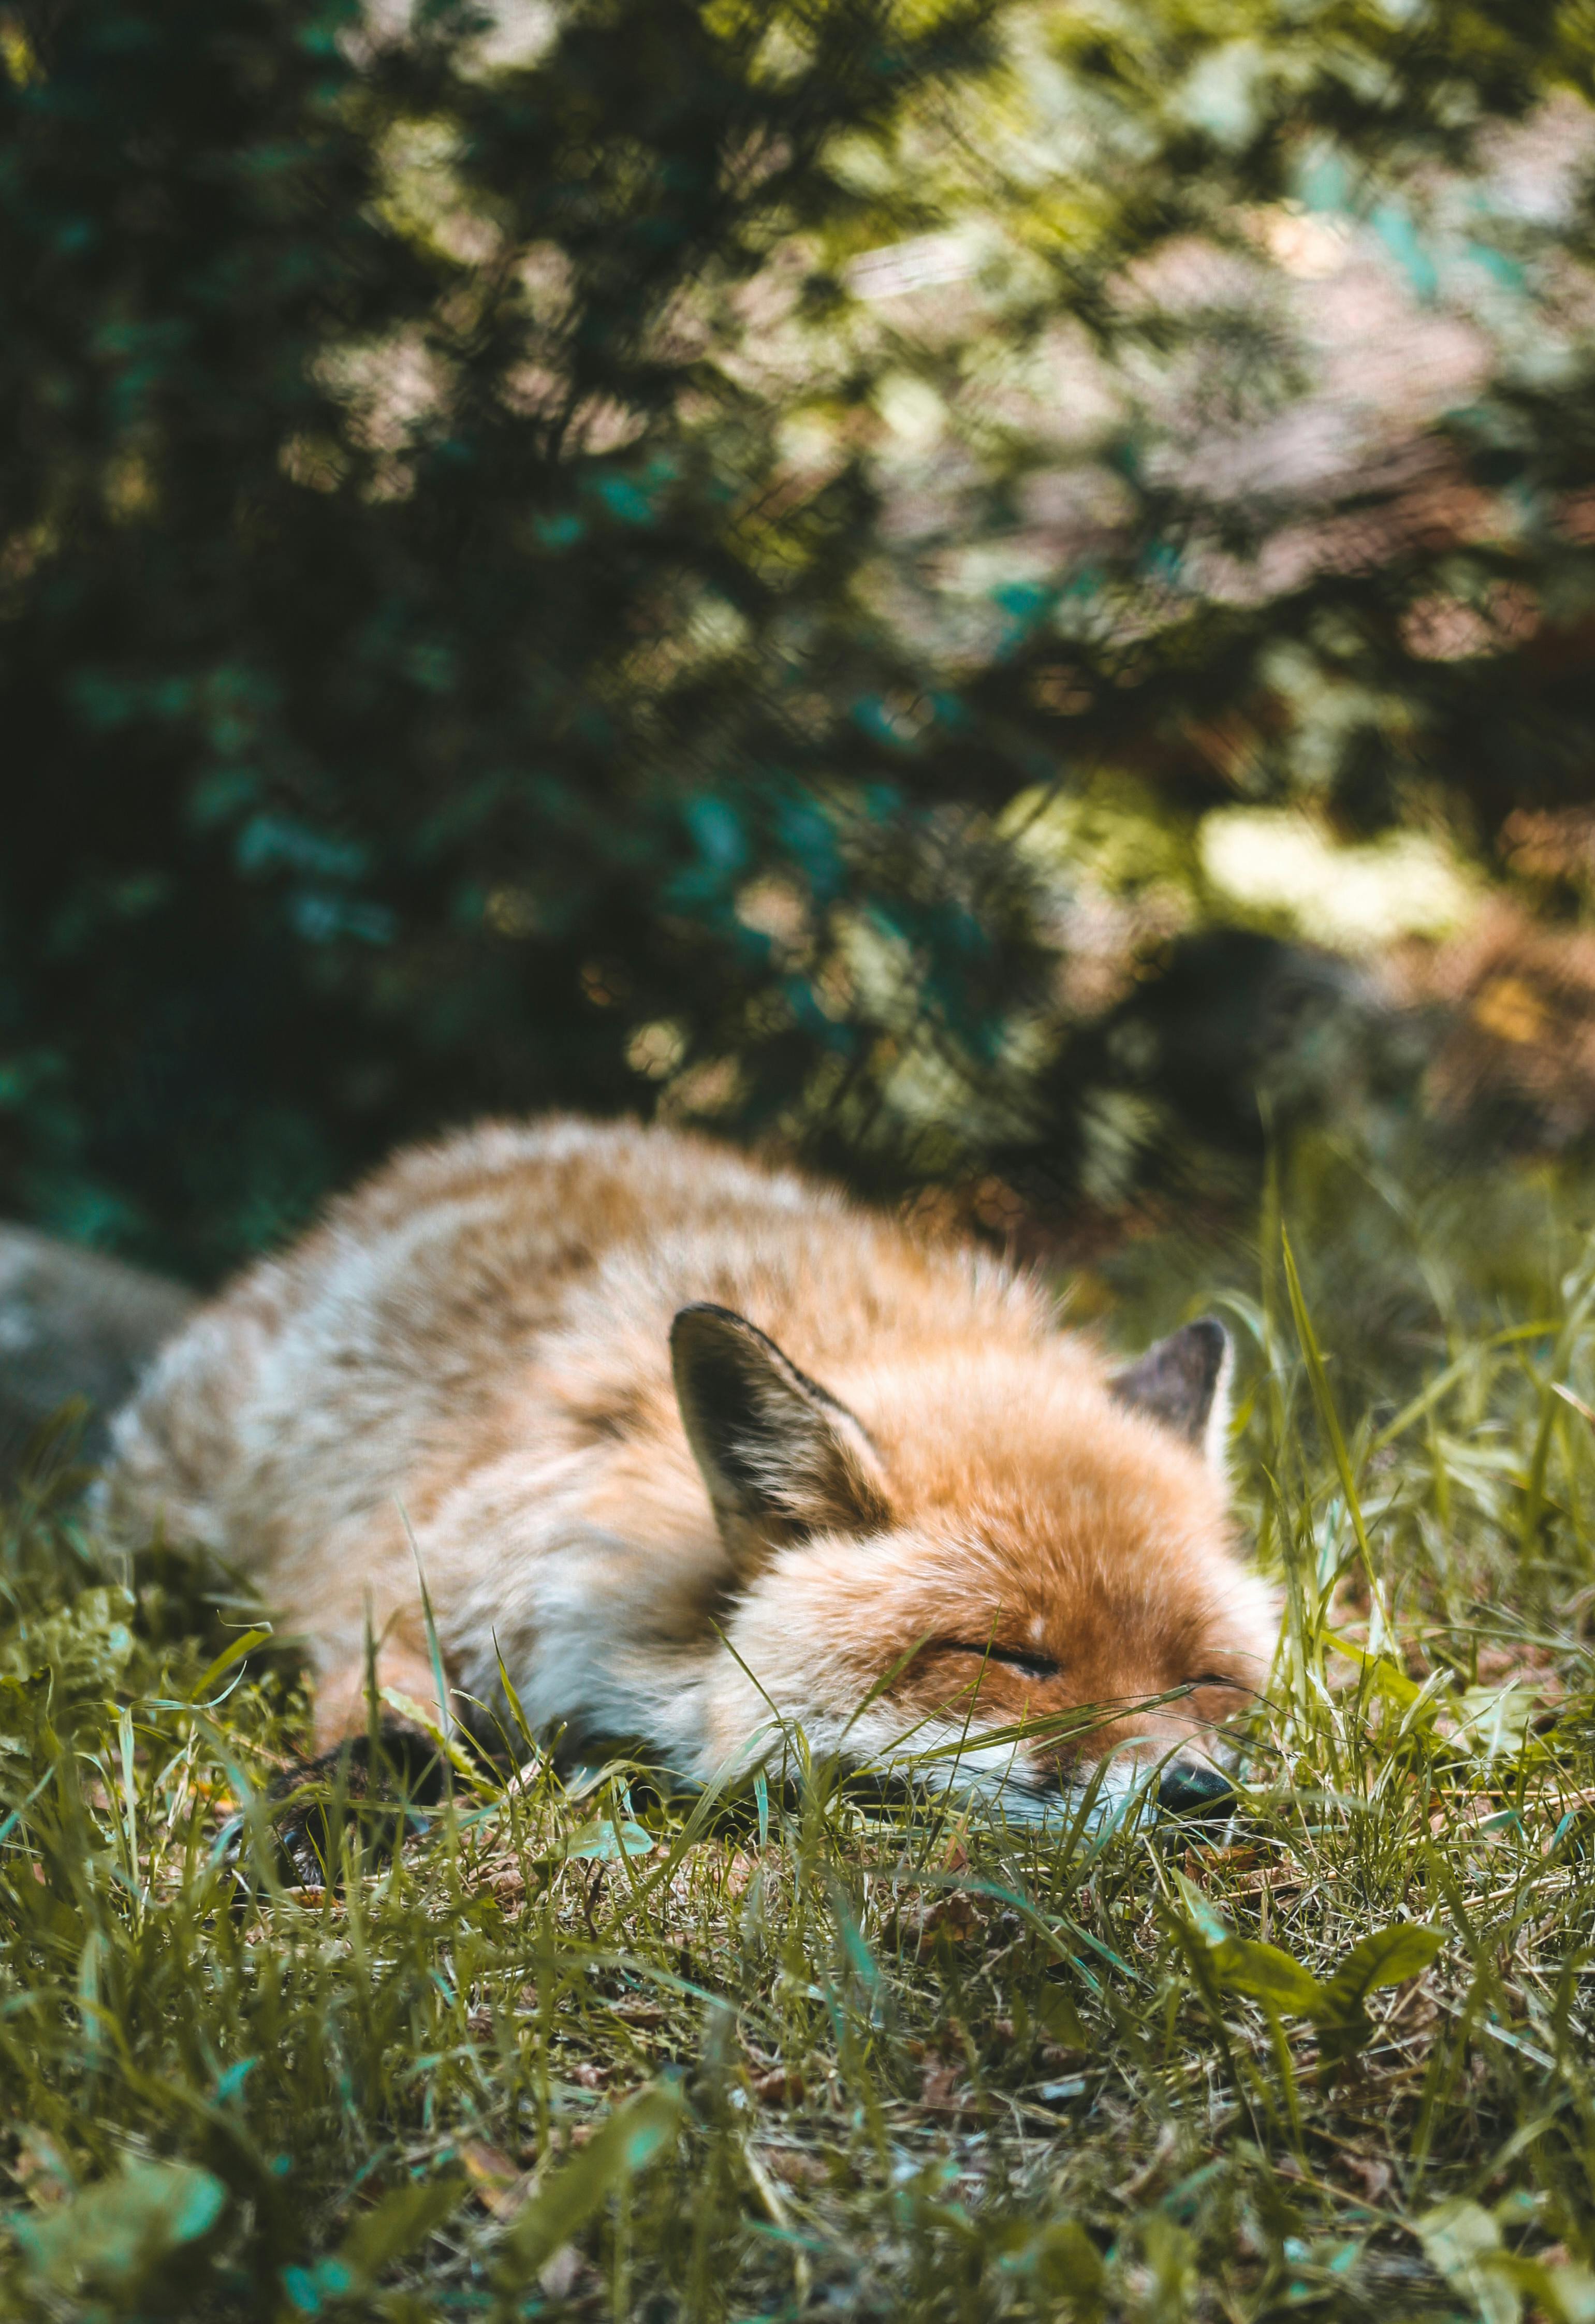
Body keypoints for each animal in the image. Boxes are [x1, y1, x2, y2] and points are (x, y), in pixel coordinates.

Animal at [100, 1115, 1283, 1822]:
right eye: (1010, 1658)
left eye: (1207, 1679)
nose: (1197, 1792)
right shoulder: (405, 1575)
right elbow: (379, 1714)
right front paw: (322, 1815)